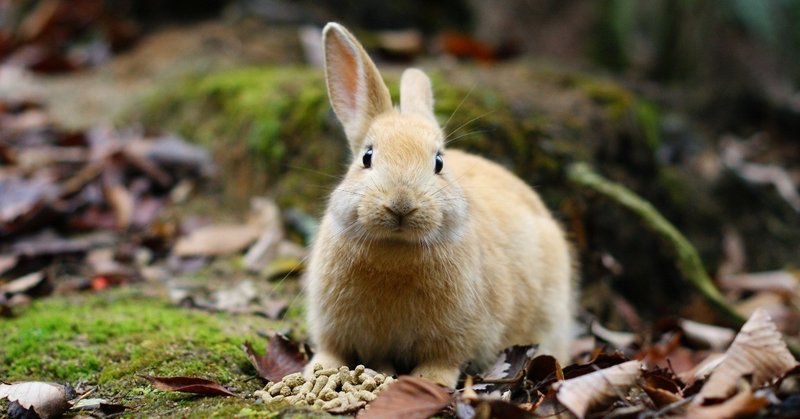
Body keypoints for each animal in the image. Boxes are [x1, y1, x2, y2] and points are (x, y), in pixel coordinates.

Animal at [306, 23, 576, 390]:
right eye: (367, 157)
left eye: (439, 163)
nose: (401, 204)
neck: (395, 250)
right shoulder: (332, 325)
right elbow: (331, 350)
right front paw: (317, 370)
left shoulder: (456, 336)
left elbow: (443, 361)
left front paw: (429, 382)